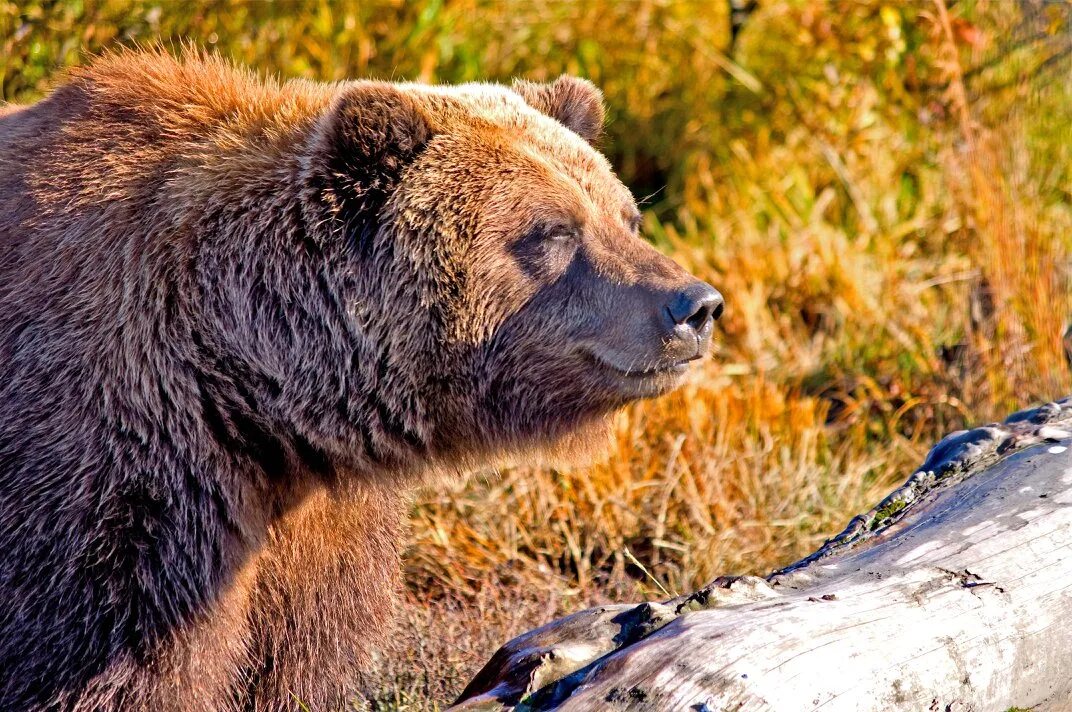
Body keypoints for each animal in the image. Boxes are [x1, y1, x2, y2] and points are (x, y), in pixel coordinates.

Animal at [0, 50, 724, 711]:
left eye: (626, 216)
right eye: (551, 231)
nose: (698, 305)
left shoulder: (318, 529)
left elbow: (300, 656)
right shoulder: (114, 489)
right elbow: (115, 661)